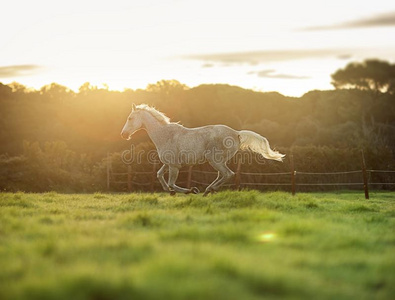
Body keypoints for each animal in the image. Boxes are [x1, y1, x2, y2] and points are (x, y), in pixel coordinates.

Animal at [120, 104, 284, 196]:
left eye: (130, 118)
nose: (123, 135)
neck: (165, 135)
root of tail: (236, 133)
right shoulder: (168, 164)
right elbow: (159, 175)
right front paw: (170, 192)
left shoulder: (174, 166)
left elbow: (172, 182)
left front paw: (190, 190)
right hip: (218, 161)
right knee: (222, 175)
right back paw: (208, 190)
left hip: (215, 160)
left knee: (228, 174)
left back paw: (208, 191)